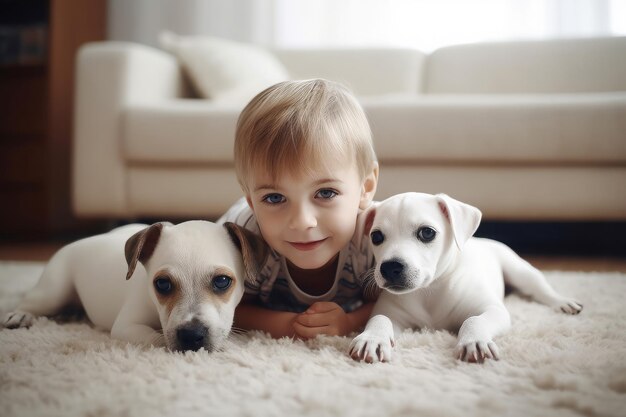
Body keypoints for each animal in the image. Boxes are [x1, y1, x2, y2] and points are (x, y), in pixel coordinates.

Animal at [2, 219, 266, 352]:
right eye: (162, 284)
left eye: (222, 281)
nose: (191, 335)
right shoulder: (127, 326)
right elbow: (156, 338)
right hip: (52, 292)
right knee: (33, 303)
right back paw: (20, 315)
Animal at [348, 193, 584, 362]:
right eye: (376, 236)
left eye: (427, 232)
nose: (389, 268)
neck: (430, 291)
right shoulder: (392, 312)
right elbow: (380, 318)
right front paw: (372, 339)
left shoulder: (493, 310)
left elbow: (473, 320)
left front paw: (475, 341)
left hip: (519, 270)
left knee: (541, 288)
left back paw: (563, 302)